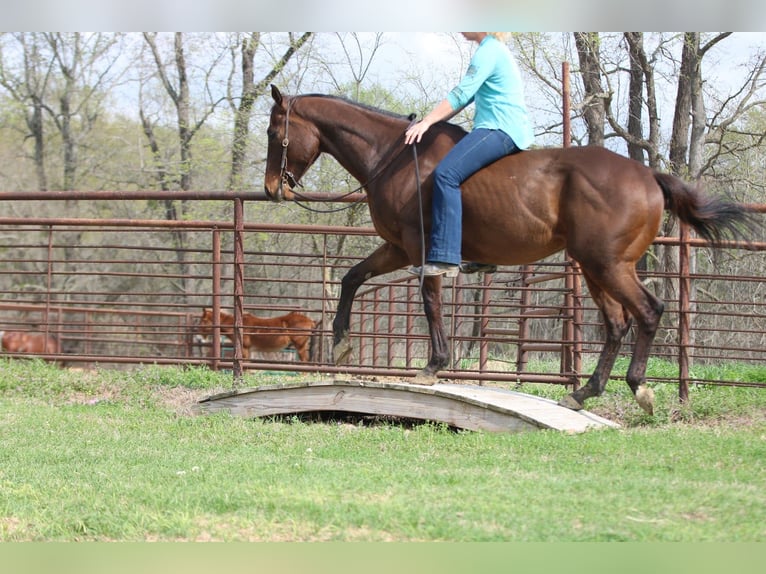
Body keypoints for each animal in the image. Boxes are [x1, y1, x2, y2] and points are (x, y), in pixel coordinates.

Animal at [263, 85, 759, 415]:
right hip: (595, 268)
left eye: (272, 132)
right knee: (617, 325)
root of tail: (648, 176)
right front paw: (342, 344)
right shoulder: (398, 248)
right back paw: (583, 393)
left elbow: (430, 302)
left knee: (649, 312)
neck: (397, 157)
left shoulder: (421, 248)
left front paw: (433, 365)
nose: (270, 189)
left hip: (608, 265)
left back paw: (638, 387)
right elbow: (352, 276)